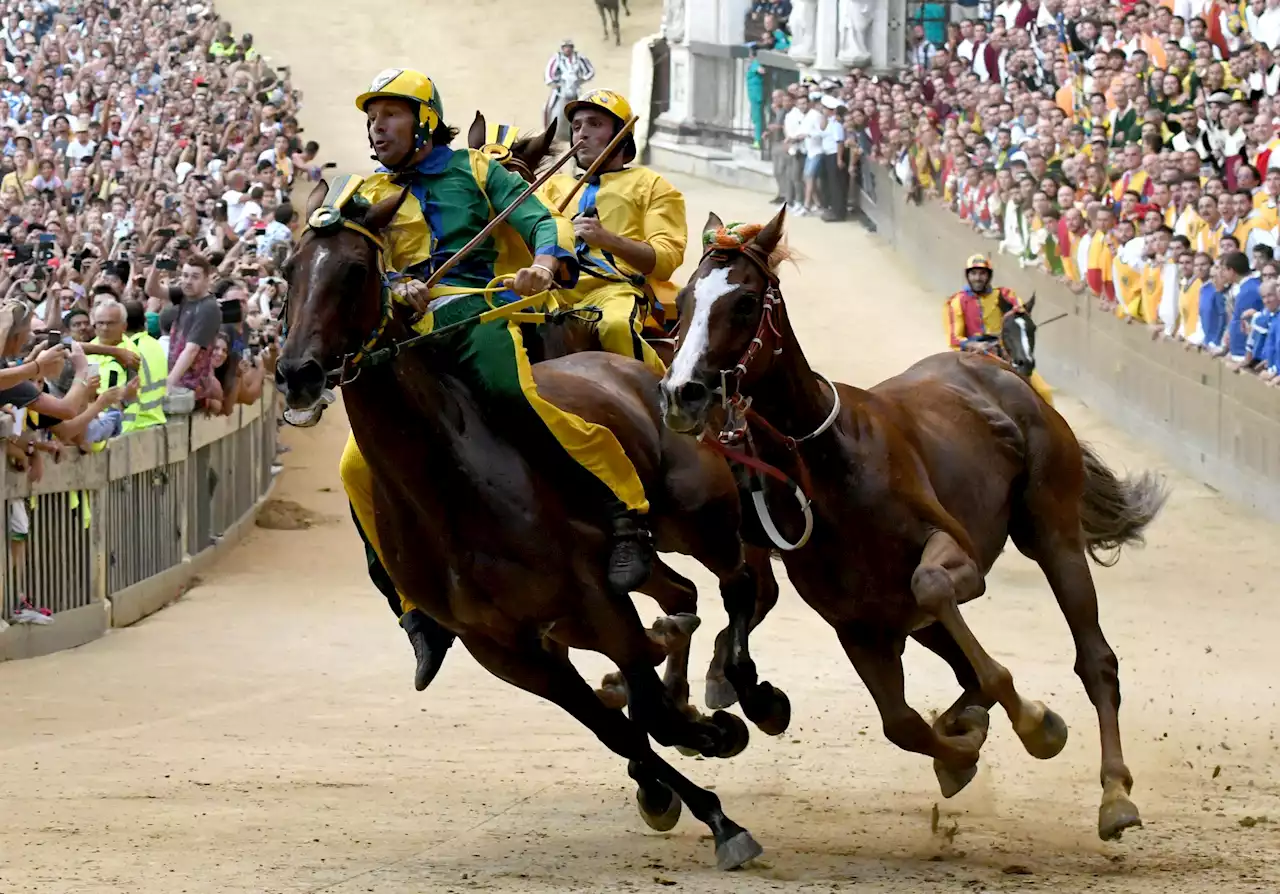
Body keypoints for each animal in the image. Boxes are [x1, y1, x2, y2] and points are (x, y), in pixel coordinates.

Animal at [660, 210, 1172, 840]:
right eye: (685, 299)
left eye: (746, 301)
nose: (681, 392)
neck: (826, 462)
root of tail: (1003, 375)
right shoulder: (857, 623)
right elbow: (902, 724)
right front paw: (963, 749)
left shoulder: (957, 559)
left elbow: (939, 597)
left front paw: (1034, 723)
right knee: (961, 673)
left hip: (1052, 531)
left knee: (1094, 659)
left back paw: (1115, 794)